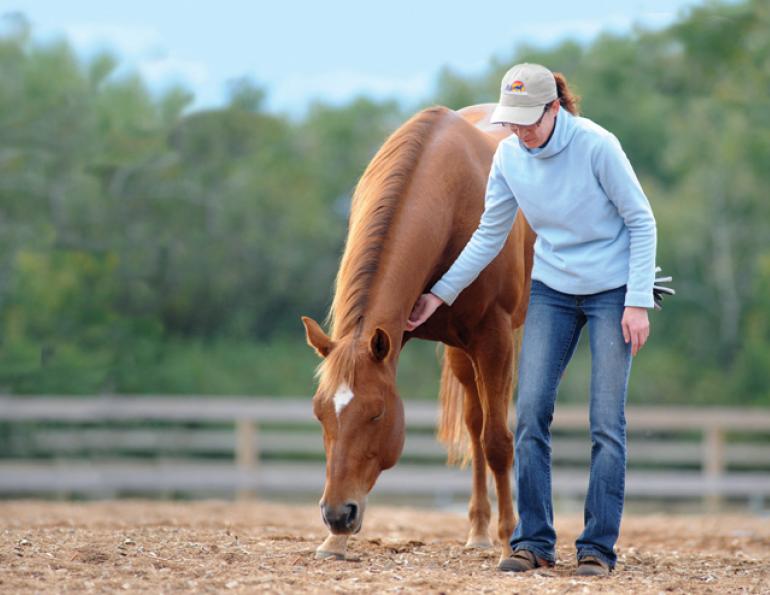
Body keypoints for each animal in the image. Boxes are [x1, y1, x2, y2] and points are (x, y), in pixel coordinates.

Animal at [301, 103, 536, 564]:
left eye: (377, 414)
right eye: (320, 413)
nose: (337, 514)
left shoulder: (495, 338)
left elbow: (499, 442)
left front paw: (509, 542)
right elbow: (481, 433)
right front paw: (333, 543)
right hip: (462, 353)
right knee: (474, 423)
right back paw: (477, 530)